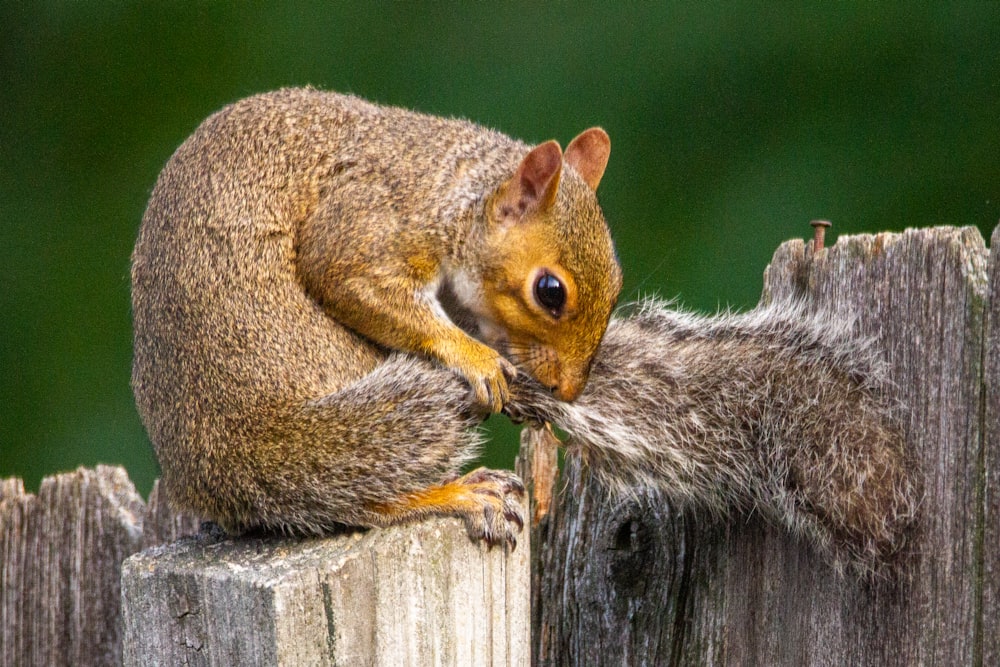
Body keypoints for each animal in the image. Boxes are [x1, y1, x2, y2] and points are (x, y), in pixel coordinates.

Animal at [129, 87, 620, 548]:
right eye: (550, 292)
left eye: (616, 284)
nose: (569, 390)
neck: (453, 193)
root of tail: (226, 462)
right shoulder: (372, 222)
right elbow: (342, 275)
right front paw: (475, 358)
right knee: (361, 498)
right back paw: (460, 494)